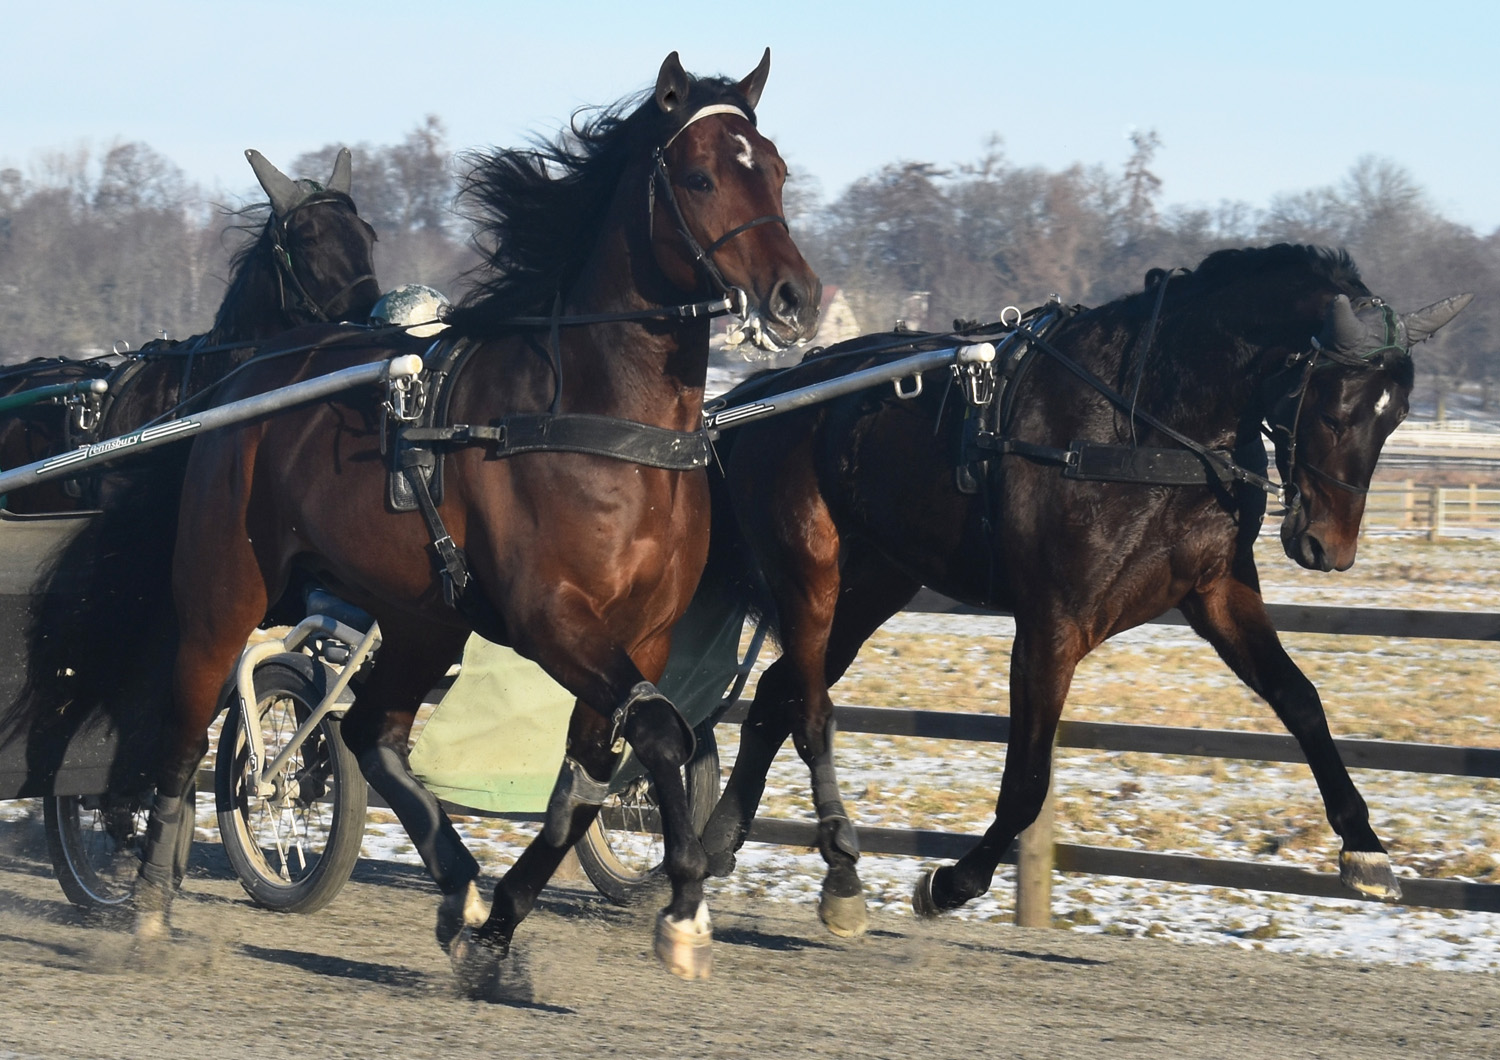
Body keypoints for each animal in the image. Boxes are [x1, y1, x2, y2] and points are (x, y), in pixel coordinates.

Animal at [95, 51, 822, 995]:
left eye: (775, 169)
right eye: (701, 176)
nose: (796, 297)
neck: (608, 425)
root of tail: (243, 379)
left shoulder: (644, 632)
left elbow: (582, 788)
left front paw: (493, 928)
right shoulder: (551, 618)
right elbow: (662, 732)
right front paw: (686, 909)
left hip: (420, 613)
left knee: (372, 732)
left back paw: (458, 887)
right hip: (227, 585)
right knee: (188, 722)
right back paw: (148, 903)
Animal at [696, 244, 1470, 935]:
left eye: (1396, 415)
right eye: (1335, 409)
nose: (1328, 549)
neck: (1147, 428)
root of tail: (763, 394)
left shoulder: (1216, 591)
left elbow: (1301, 702)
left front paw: (1365, 849)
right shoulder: (1052, 623)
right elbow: (1027, 783)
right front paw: (952, 882)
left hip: (876, 581)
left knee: (777, 692)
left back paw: (717, 841)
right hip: (809, 569)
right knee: (807, 708)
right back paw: (833, 869)